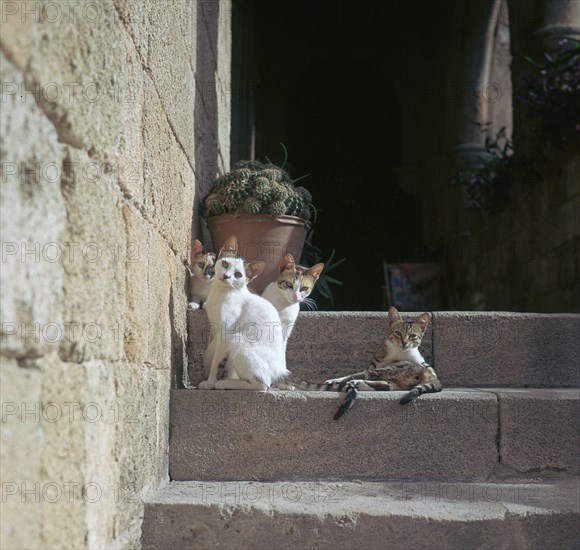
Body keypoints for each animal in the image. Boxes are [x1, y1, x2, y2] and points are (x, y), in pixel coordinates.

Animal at [199, 235, 290, 390]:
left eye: (237, 275)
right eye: (225, 264)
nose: (226, 276)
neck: (220, 293)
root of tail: (280, 371)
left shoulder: (226, 333)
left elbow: (216, 362)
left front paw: (210, 382)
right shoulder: (215, 330)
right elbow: (216, 358)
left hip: (238, 342)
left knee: (263, 385)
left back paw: (225, 383)